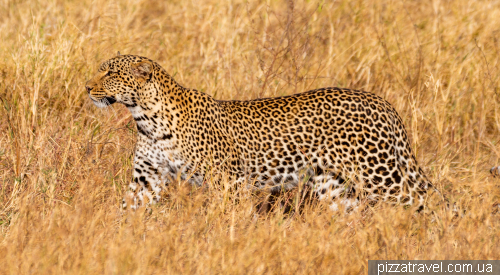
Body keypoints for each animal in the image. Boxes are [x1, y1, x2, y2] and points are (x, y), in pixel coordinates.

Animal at [87, 54, 438, 213]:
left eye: (111, 72)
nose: (87, 87)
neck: (145, 117)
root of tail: (380, 101)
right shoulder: (147, 177)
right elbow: (129, 207)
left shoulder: (228, 179)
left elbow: (226, 215)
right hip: (334, 185)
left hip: (380, 174)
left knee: (426, 201)